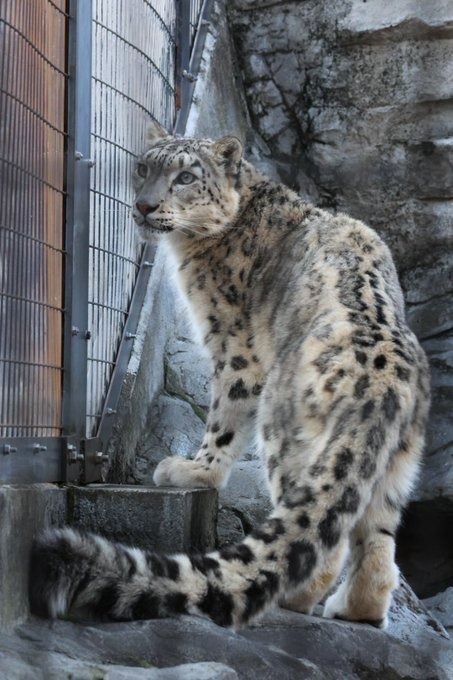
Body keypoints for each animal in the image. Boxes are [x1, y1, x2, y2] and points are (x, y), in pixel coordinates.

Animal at [30, 119, 430, 628]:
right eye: (143, 168)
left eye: (185, 177)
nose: (144, 205)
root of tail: (382, 381)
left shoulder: (234, 350)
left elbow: (222, 418)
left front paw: (193, 470)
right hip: (398, 465)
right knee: (375, 537)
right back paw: (354, 608)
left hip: (285, 431)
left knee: (317, 530)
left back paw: (296, 599)